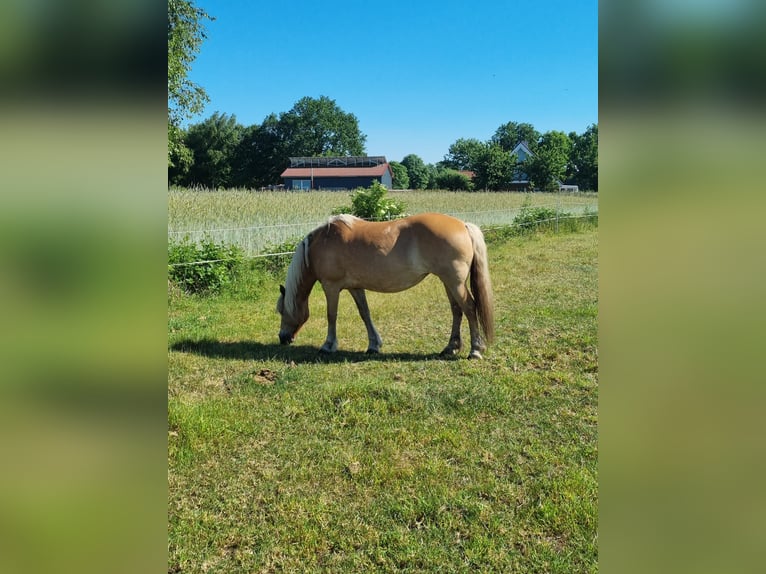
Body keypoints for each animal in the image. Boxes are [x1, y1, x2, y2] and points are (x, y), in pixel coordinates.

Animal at [278, 214, 498, 360]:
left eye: (280, 311)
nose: (283, 338)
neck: (322, 242)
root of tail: (464, 225)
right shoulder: (355, 287)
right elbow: (365, 313)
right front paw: (374, 345)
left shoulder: (330, 286)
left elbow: (331, 315)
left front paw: (328, 345)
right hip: (448, 282)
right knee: (456, 311)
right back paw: (451, 347)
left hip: (455, 283)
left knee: (470, 308)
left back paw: (475, 350)